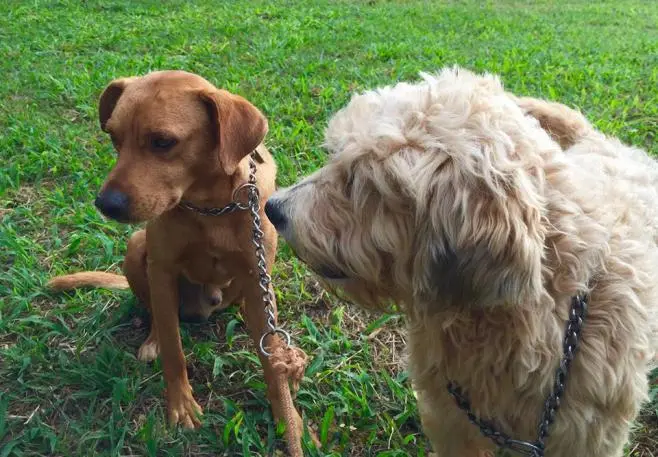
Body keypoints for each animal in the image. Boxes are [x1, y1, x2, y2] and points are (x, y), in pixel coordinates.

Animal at [48, 69, 304, 436]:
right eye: (114, 138)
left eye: (163, 142)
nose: (105, 204)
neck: (209, 207)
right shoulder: (162, 268)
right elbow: (173, 348)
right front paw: (181, 404)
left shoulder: (257, 275)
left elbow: (269, 360)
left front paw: (289, 421)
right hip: (136, 247)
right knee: (157, 312)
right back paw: (153, 338)